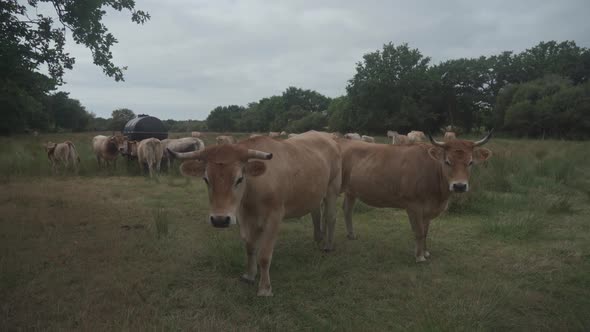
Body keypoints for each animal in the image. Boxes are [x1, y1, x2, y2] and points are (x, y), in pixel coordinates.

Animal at [169, 130, 344, 296]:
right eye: (206, 179)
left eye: (239, 179)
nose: (220, 219)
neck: (252, 194)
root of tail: (326, 136)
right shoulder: (245, 217)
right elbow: (250, 247)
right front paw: (250, 275)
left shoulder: (274, 217)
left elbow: (264, 256)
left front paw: (265, 288)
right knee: (316, 214)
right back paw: (318, 238)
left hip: (332, 188)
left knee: (330, 217)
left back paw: (328, 245)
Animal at [338, 131, 494, 264]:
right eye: (447, 161)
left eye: (470, 162)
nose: (459, 186)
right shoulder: (413, 205)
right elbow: (419, 231)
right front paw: (419, 257)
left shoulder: (428, 210)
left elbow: (425, 232)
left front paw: (425, 252)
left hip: (351, 191)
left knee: (347, 209)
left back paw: (351, 235)